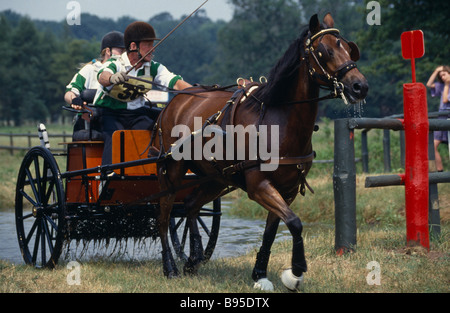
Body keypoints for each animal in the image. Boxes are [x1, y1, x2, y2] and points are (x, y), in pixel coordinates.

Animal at [153, 12, 368, 290]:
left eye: (349, 49)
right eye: (325, 51)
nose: (359, 86)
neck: (280, 122)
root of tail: (173, 103)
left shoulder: (287, 190)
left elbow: (273, 230)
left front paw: (260, 273)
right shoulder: (259, 186)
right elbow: (295, 222)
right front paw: (296, 270)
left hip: (215, 177)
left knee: (190, 205)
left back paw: (193, 259)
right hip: (171, 172)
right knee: (164, 215)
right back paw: (170, 267)